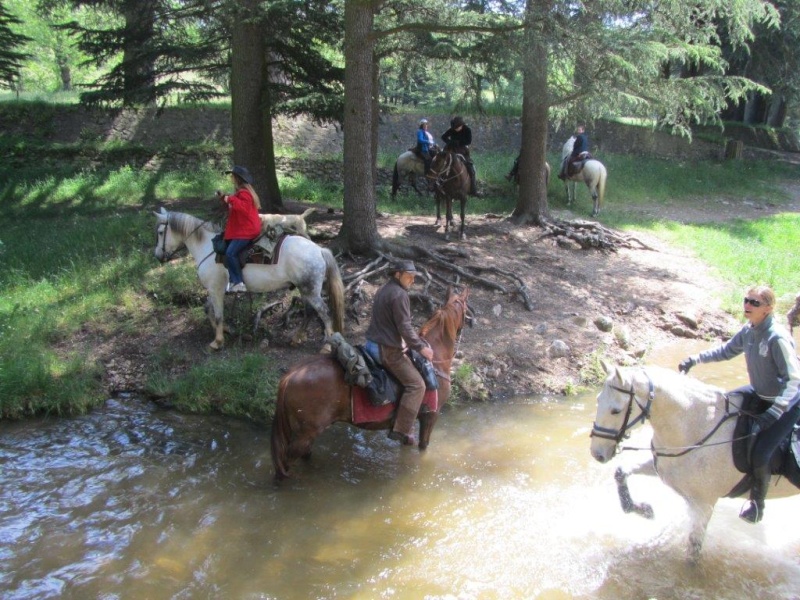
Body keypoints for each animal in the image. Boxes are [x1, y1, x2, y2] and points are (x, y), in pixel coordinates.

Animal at [153, 211, 344, 352]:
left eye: (161, 232)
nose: (158, 256)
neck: (208, 248)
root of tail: (319, 250)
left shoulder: (215, 289)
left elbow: (218, 314)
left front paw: (218, 341)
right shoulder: (214, 290)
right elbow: (207, 309)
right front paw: (227, 330)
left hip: (310, 290)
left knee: (324, 312)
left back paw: (327, 346)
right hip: (305, 289)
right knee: (309, 312)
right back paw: (297, 338)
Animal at [272, 288, 472, 480]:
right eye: (465, 306)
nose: (471, 321)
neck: (434, 359)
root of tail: (291, 375)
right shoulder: (431, 416)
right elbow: (423, 446)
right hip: (306, 434)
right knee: (285, 463)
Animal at [588, 360, 800, 564]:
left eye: (616, 411)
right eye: (598, 400)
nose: (597, 453)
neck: (697, 426)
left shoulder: (703, 504)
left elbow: (693, 551)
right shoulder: (664, 467)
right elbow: (621, 472)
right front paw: (644, 510)